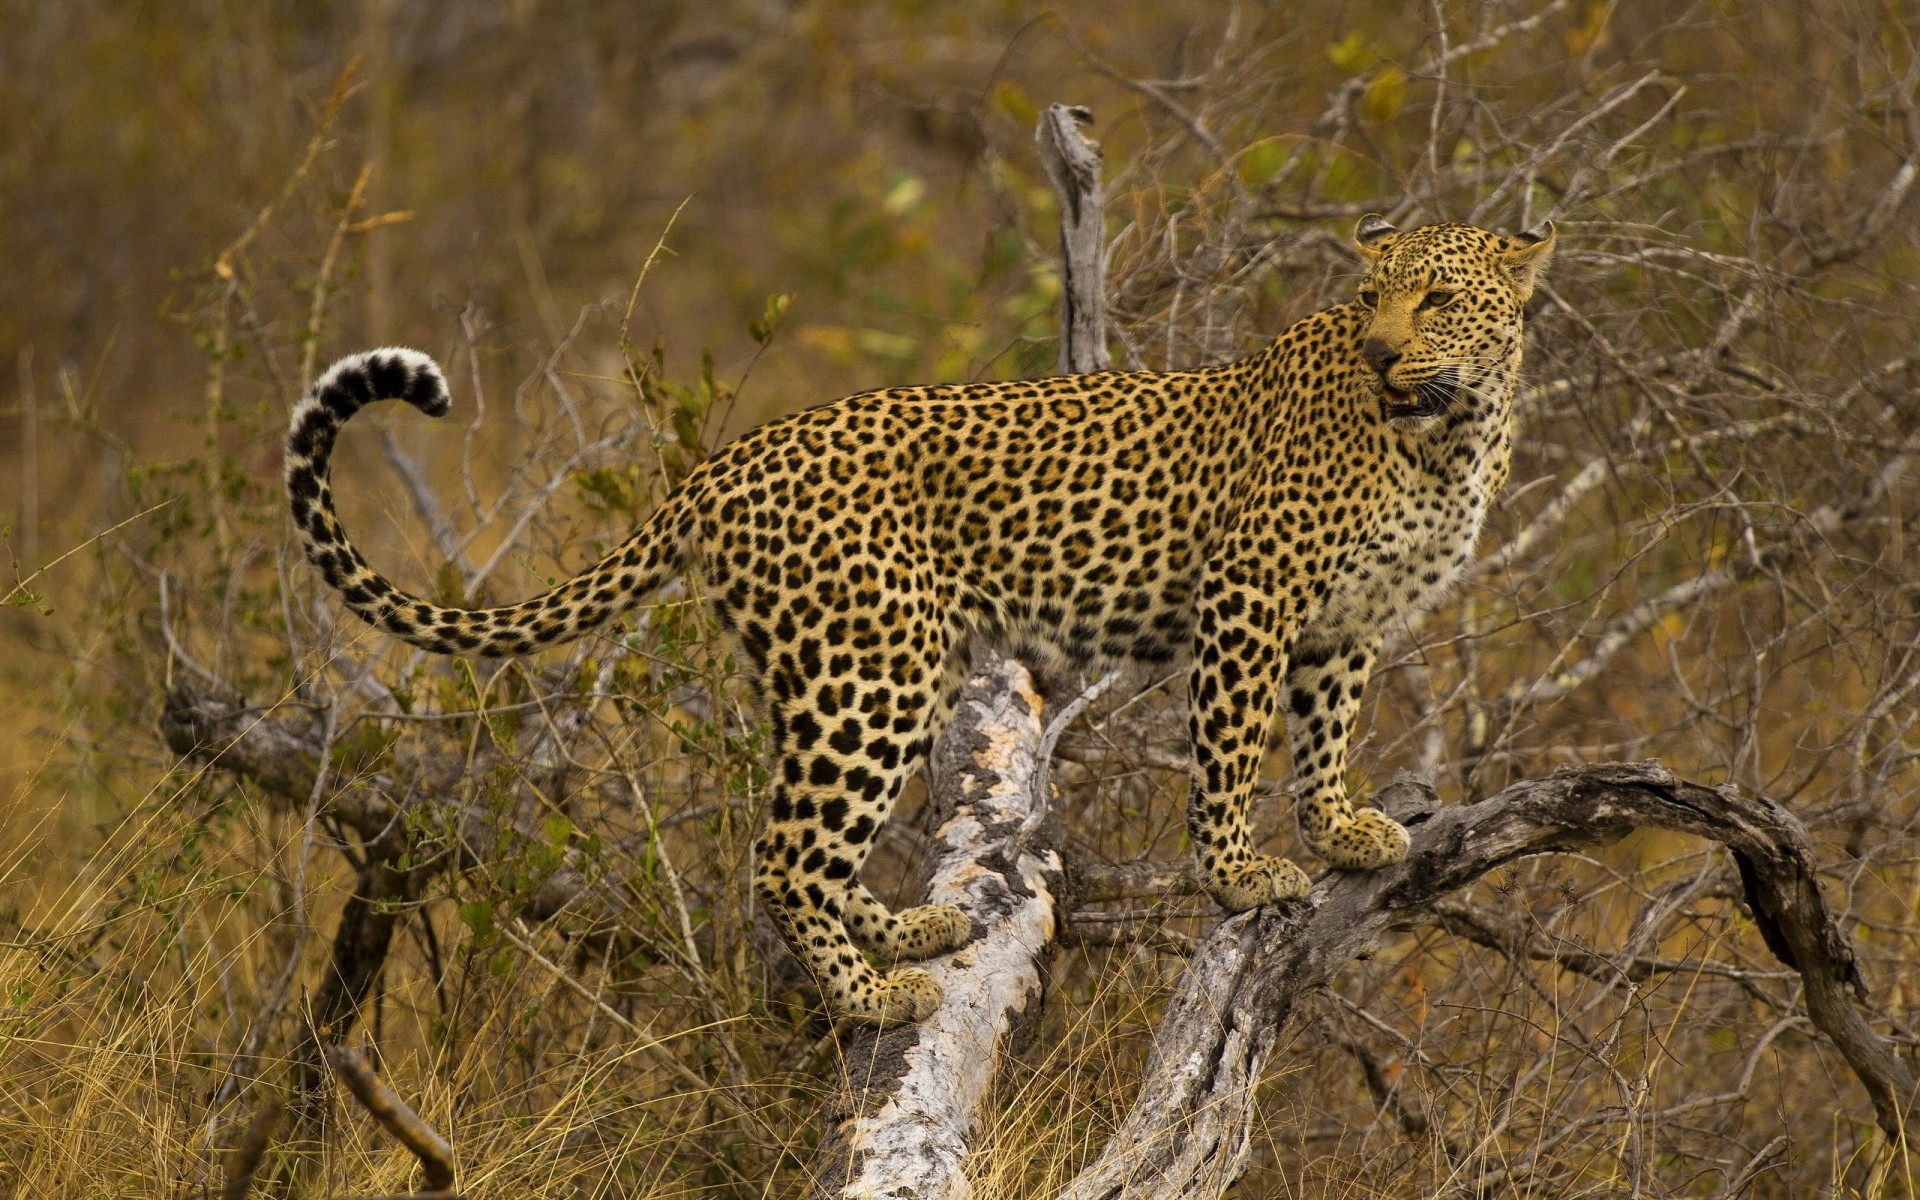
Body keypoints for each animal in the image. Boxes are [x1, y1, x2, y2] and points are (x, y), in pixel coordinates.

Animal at [288, 213, 1559, 1021]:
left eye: (1437, 298)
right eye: (1371, 299)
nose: (1384, 351)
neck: (1451, 432)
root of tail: (722, 466)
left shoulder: (1344, 622)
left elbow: (1325, 734)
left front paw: (1343, 828)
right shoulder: (1254, 593)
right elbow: (1234, 751)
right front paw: (1244, 875)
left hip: (851, 670)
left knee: (812, 840)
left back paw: (905, 937)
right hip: (875, 674)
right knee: (781, 858)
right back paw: (870, 998)